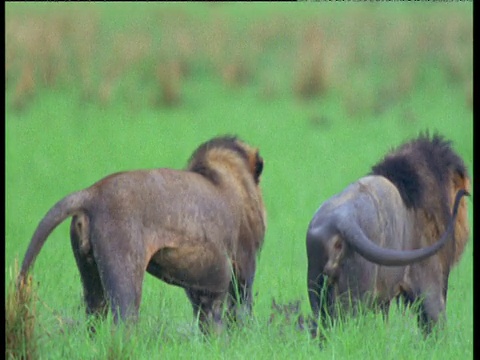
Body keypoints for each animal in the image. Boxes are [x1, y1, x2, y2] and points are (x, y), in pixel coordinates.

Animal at [17, 136, 266, 334]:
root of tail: (91, 193)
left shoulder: (202, 282)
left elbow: (208, 317)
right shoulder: (244, 265)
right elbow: (240, 311)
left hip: (90, 275)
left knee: (94, 319)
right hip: (125, 267)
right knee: (124, 322)